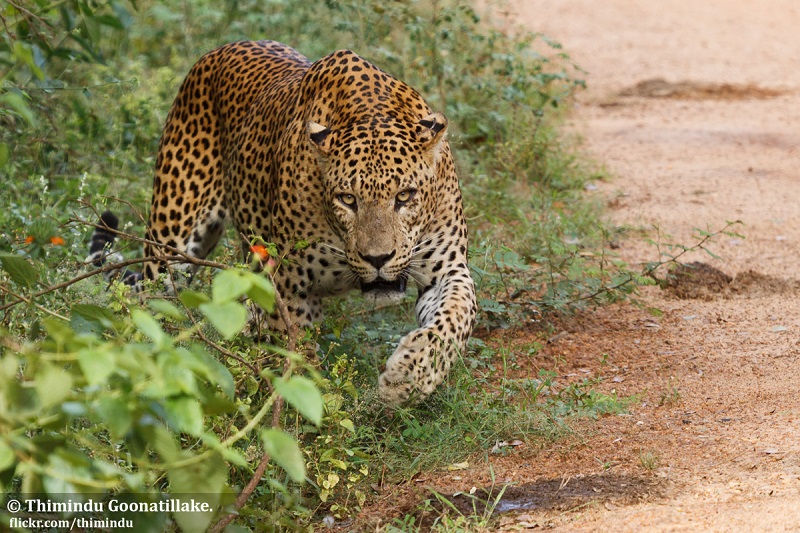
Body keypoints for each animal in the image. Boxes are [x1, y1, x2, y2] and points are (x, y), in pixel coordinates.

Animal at [89, 40, 476, 404]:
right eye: (347, 199)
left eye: (405, 196)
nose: (377, 259)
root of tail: (217, 51)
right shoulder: (288, 284)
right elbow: (298, 356)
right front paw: (313, 411)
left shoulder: (447, 269)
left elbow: (456, 317)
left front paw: (408, 377)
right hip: (170, 245)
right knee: (147, 306)